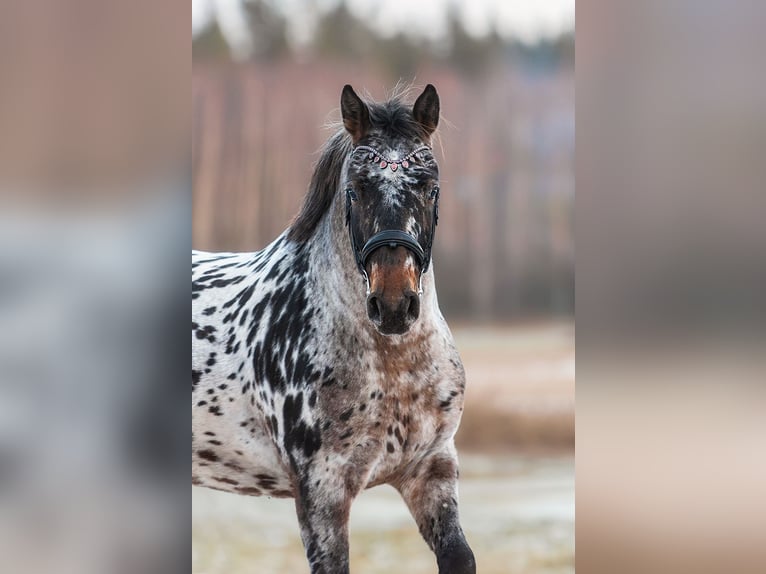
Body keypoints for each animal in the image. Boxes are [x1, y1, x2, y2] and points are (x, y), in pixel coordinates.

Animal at [192, 83, 476, 572]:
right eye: (355, 190)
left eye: (431, 187)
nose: (394, 304)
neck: (392, 367)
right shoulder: (322, 492)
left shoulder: (431, 469)